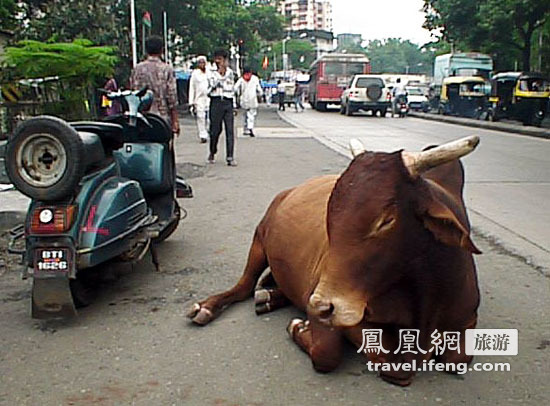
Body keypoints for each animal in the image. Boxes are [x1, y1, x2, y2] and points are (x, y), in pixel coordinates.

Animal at [190, 135, 484, 386]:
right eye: (329, 214)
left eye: (386, 220)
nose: (322, 306)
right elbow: (333, 354)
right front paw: (298, 326)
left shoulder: (467, 319)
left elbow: (456, 360)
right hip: (259, 241)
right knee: (244, 286)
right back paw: (207, 307)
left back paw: (269, 297)